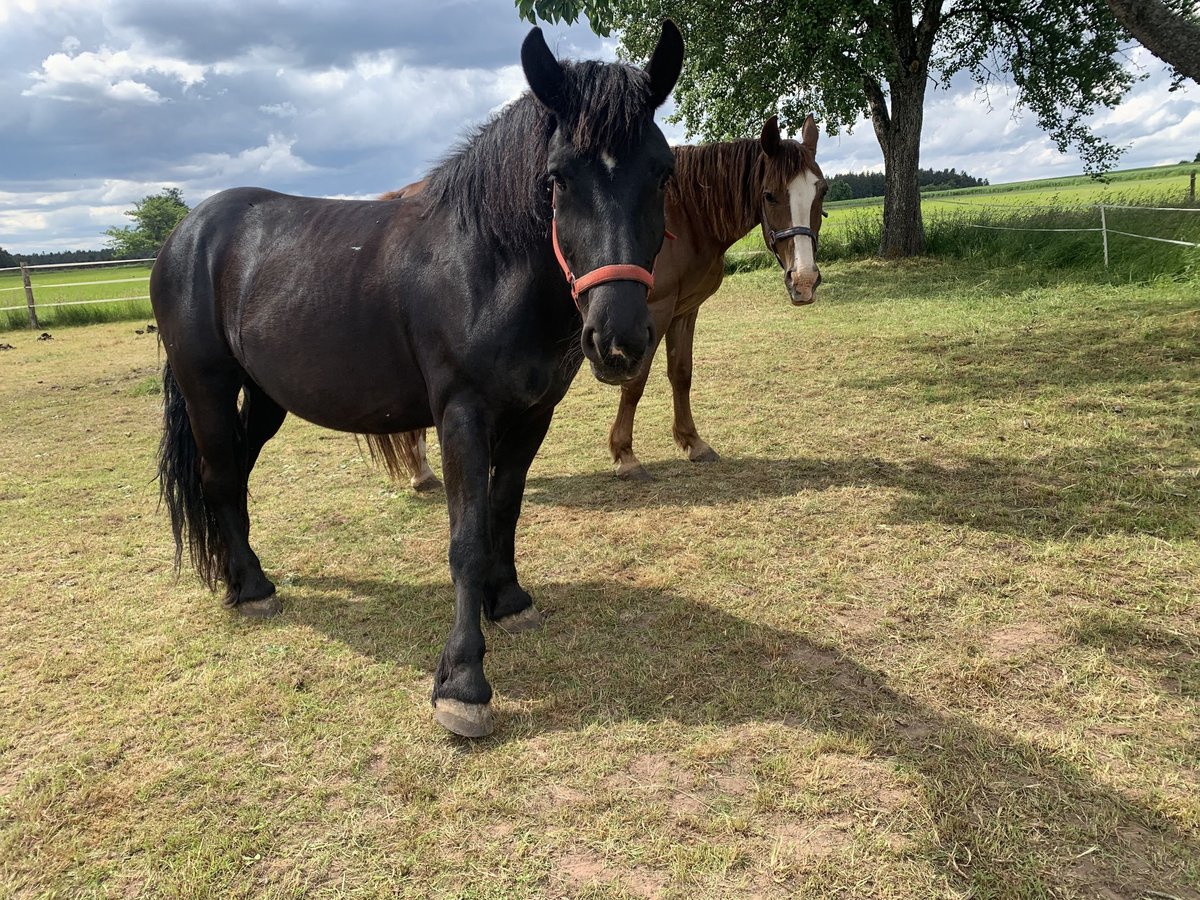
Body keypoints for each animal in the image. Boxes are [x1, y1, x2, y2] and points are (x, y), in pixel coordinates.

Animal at [374, 118, 825, 494]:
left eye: (821, 192)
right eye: (770, 195)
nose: (804, 281)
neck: (684, 216)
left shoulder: (684, 309)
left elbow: (681, 374)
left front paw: (693, 443)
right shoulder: (650, 314)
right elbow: (635, 383)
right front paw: (625, 456)